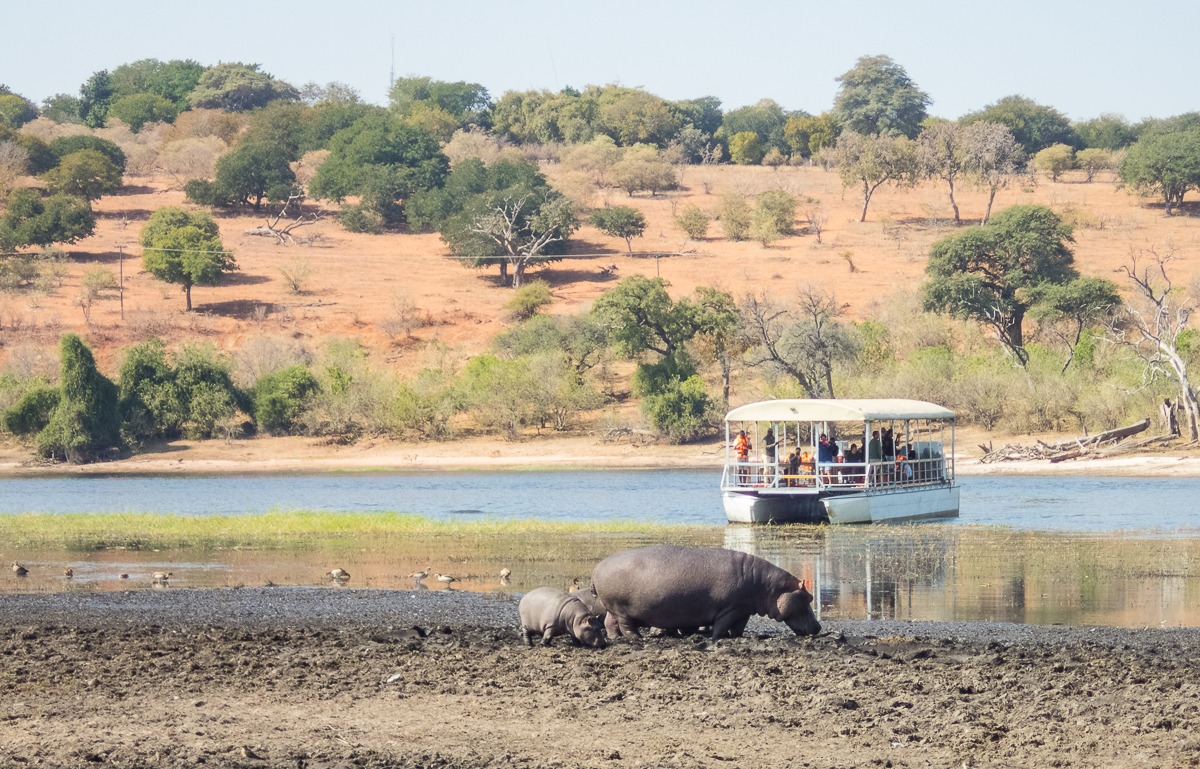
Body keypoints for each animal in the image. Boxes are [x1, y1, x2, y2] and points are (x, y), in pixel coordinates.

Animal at [592, 542, 820, 638]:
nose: (818, 627)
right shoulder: (730, 609)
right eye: (808, 597)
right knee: (625, 625)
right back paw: (637, 638)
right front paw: (717, 638)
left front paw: (736, 637)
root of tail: (597, 568)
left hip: (613, 607)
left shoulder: (743, 609)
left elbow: (739, 627)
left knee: (610, 622)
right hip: (621, 608)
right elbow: (722, 625)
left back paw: (616, 638)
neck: (769, 587)